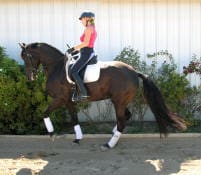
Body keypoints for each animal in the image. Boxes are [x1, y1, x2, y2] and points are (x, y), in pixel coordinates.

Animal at [19, 42, 187, 150]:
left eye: (27, 57)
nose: (30, 77)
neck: (57, 67)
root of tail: (134, 71)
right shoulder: (68, 101)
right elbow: (74, 118)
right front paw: (77, 138)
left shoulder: (60, 99)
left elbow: (45, 113)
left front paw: (52, 134)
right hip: (121, 101)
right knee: (126, 116)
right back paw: (113, 134)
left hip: (118, 101)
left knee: (122, 120)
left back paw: (109, 144)